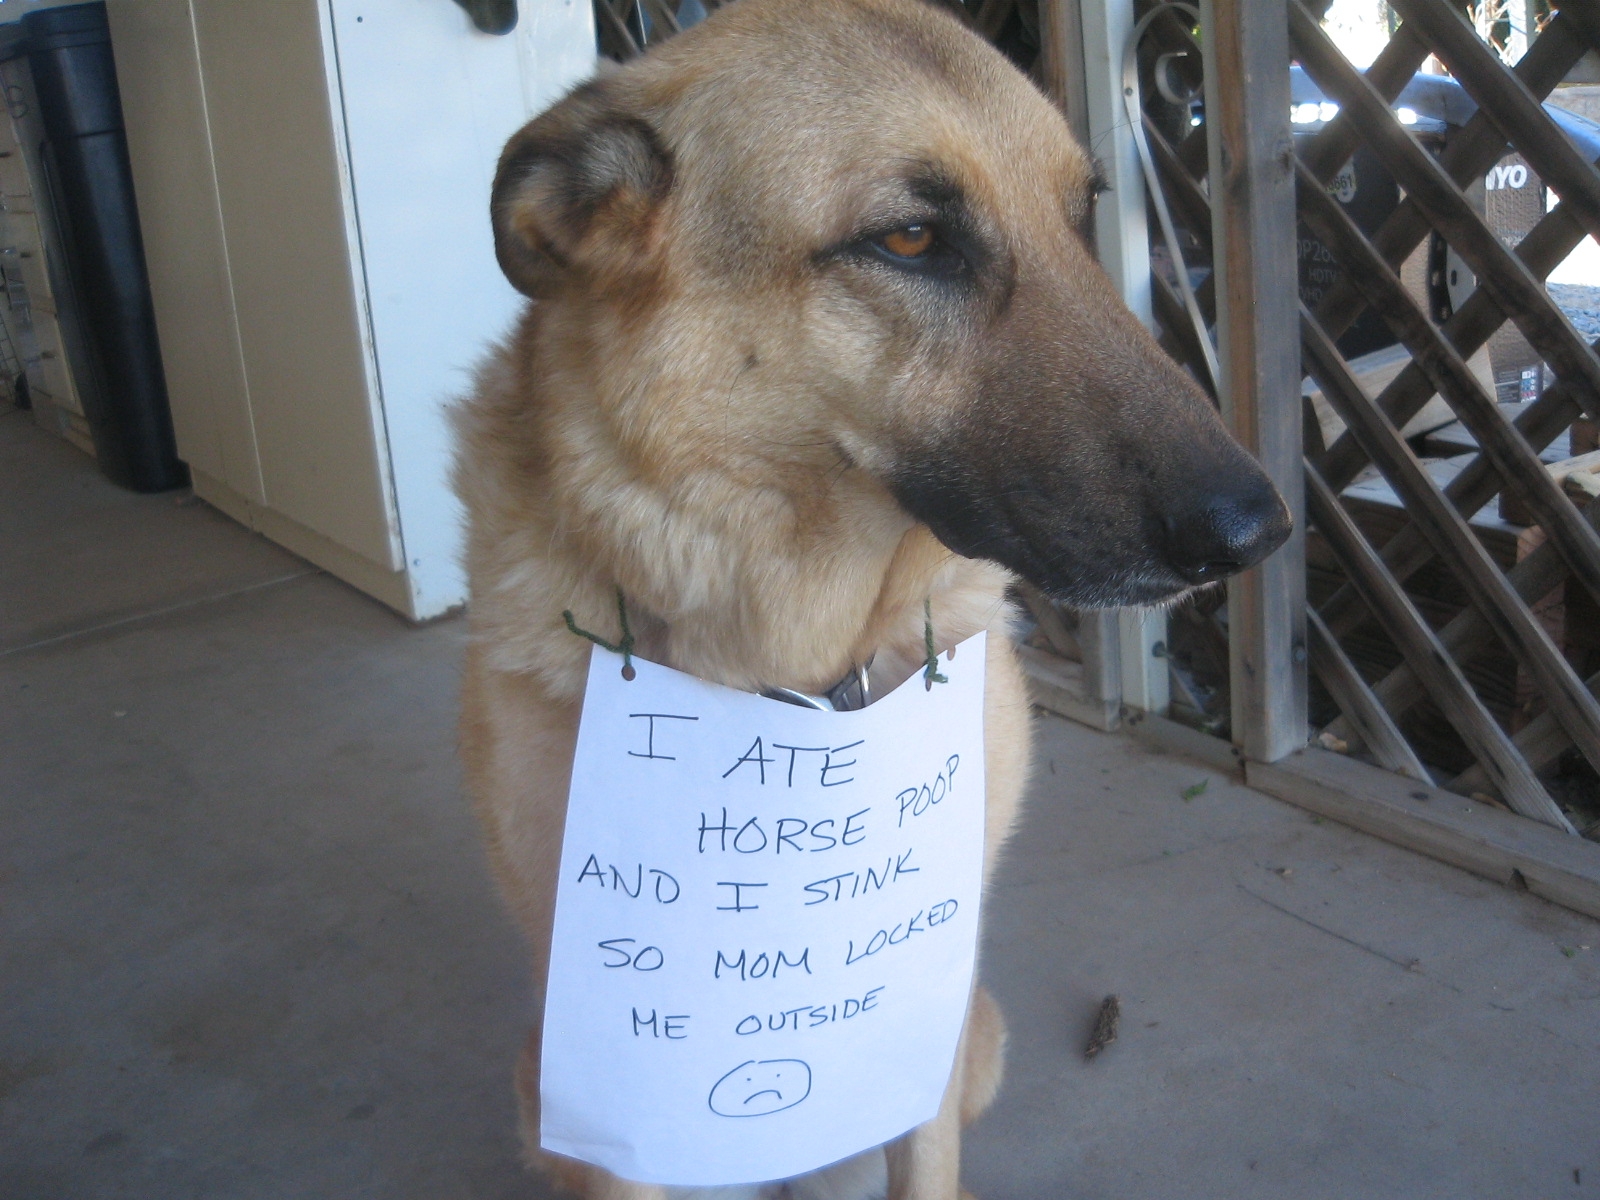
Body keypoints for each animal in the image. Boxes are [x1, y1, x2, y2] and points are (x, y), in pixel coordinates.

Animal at [451, 2, 1286, 1200]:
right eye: (909, 241)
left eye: (1078, 215)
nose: (1258, 532)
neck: (800, 665)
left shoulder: (921, 1007)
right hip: (538, 1087)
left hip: (975, 1032)